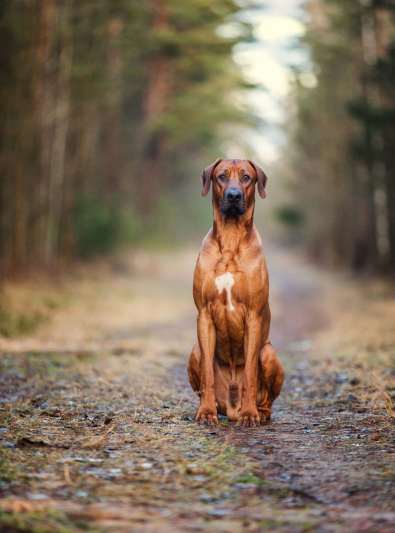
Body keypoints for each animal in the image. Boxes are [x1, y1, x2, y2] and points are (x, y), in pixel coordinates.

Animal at [188, 157, 284, 424]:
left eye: (246, 177)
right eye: (221, 176)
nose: (233, 195)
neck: (230, 239)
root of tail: (230, 409)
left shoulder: (253, 317)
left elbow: (250, 373)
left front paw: (250, 415)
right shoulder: (204, 315)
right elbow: (208, 375)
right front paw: (206, 412)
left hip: (268, 352)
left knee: (267, 400)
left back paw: (258, 413)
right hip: (195, 349)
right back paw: (205, 408)